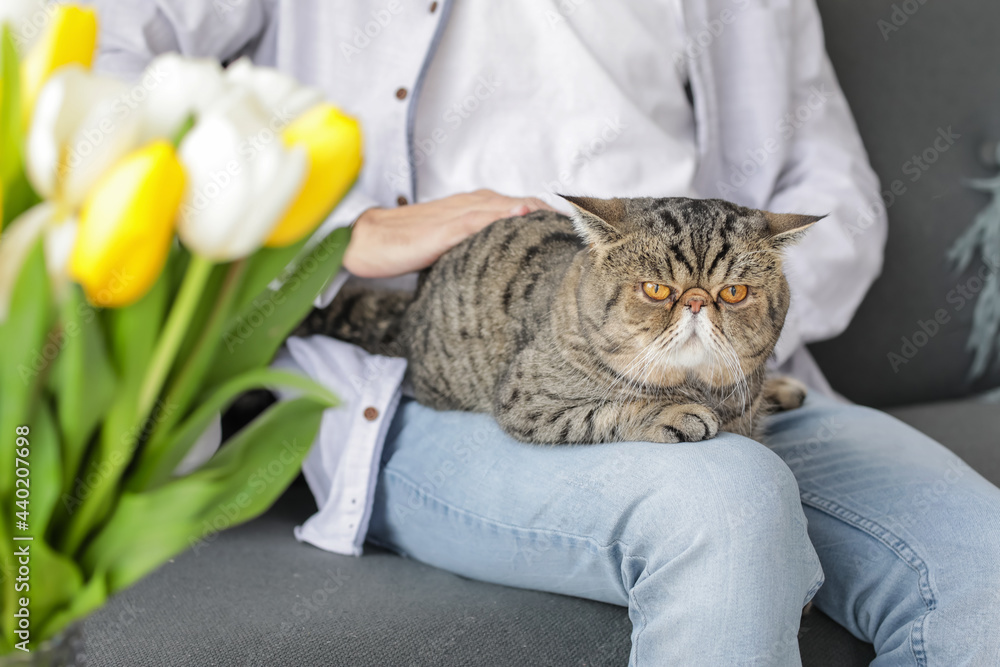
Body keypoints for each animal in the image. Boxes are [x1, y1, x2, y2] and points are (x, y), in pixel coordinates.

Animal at [294, 196, 812, 446]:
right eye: (656, 290)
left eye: (734, 293)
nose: (698, 302)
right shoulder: (528, 403)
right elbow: (611, 409)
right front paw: (675, 412)